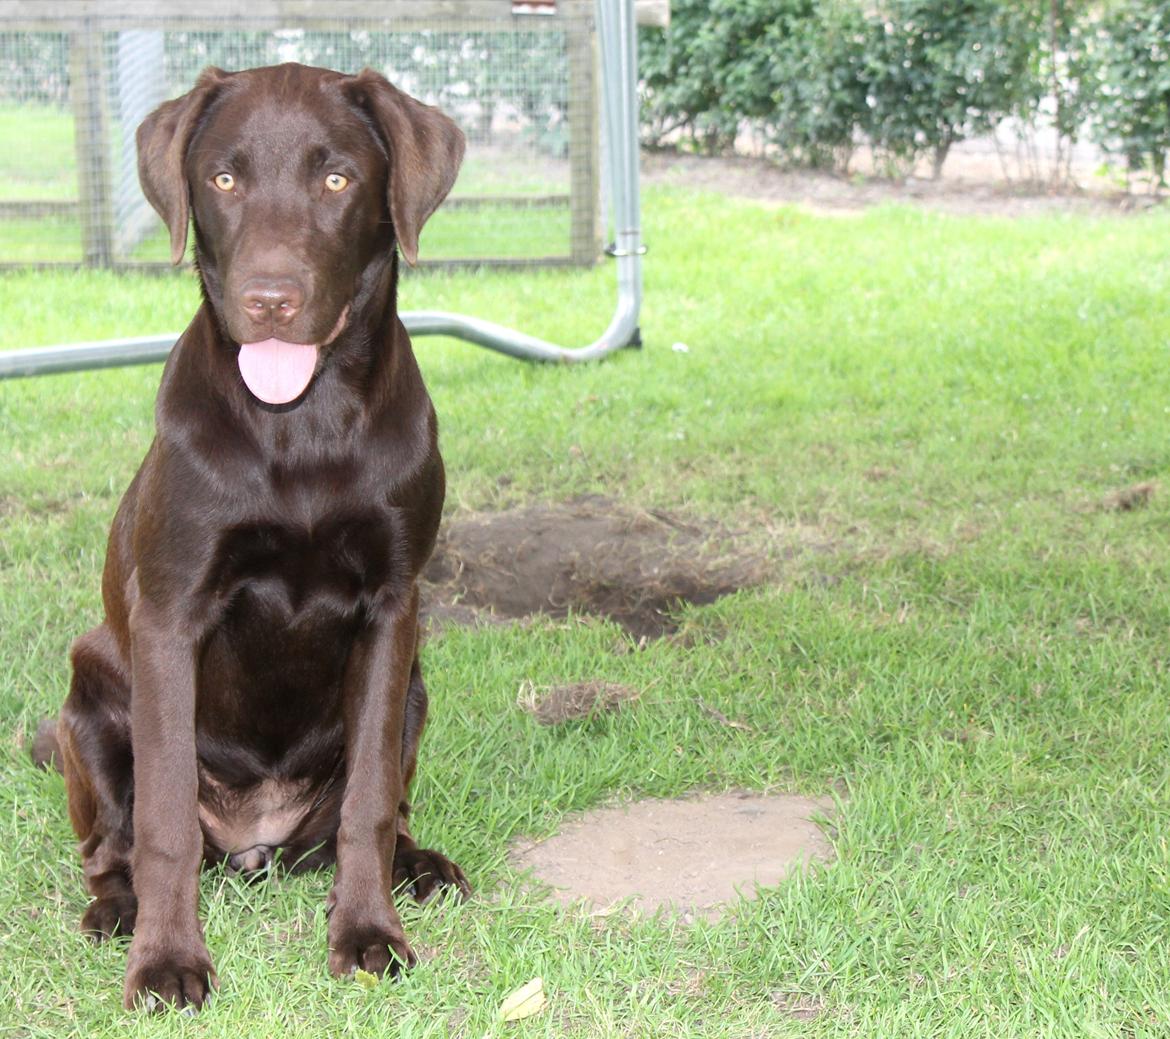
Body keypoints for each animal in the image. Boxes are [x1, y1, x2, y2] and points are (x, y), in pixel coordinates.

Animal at [43, 62, 470, 1006]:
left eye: (337, 179)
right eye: (224, 179)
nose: (269, 301)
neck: (299, 424)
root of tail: (253, 845)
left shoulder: (392, 609)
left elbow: (369, 800)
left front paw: (369, 929)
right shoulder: (172, 611)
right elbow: (164, 817)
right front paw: (167, 958)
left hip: (419, 686)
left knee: (378, 808)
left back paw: (418, 865)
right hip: (86, 699)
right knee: (113, 843)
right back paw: (117, 908)